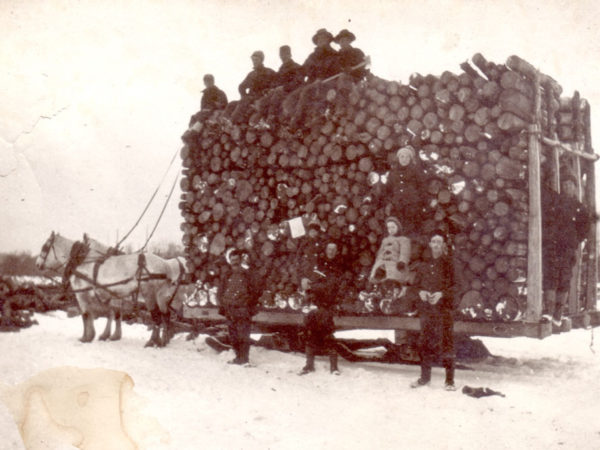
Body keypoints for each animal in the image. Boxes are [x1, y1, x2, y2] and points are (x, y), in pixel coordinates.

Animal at [36, 232, 186, 348]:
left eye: (45, 247)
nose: (37, 264)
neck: (83, 261)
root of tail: (166, 264)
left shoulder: (82, 293)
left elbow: (86, 314)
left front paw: (86, 337)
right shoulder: (108, 293)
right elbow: (110, 313)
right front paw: (106, 335)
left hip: (150, 294)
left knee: (156, 316)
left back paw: (152, 342)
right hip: (161, 296)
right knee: (165, 315)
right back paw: (162, 341)